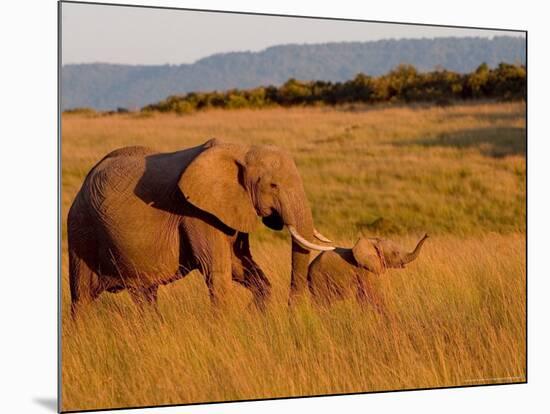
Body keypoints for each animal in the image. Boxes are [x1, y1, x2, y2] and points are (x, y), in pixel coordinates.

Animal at [67, 139, 334, 316]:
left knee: (144, 295)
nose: (292, 312)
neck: (240, 150)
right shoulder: (196, 212)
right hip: (81, 230)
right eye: (273, 185)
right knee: (82, 297)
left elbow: (240, 265)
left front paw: (253, 315)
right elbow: (218, 271)